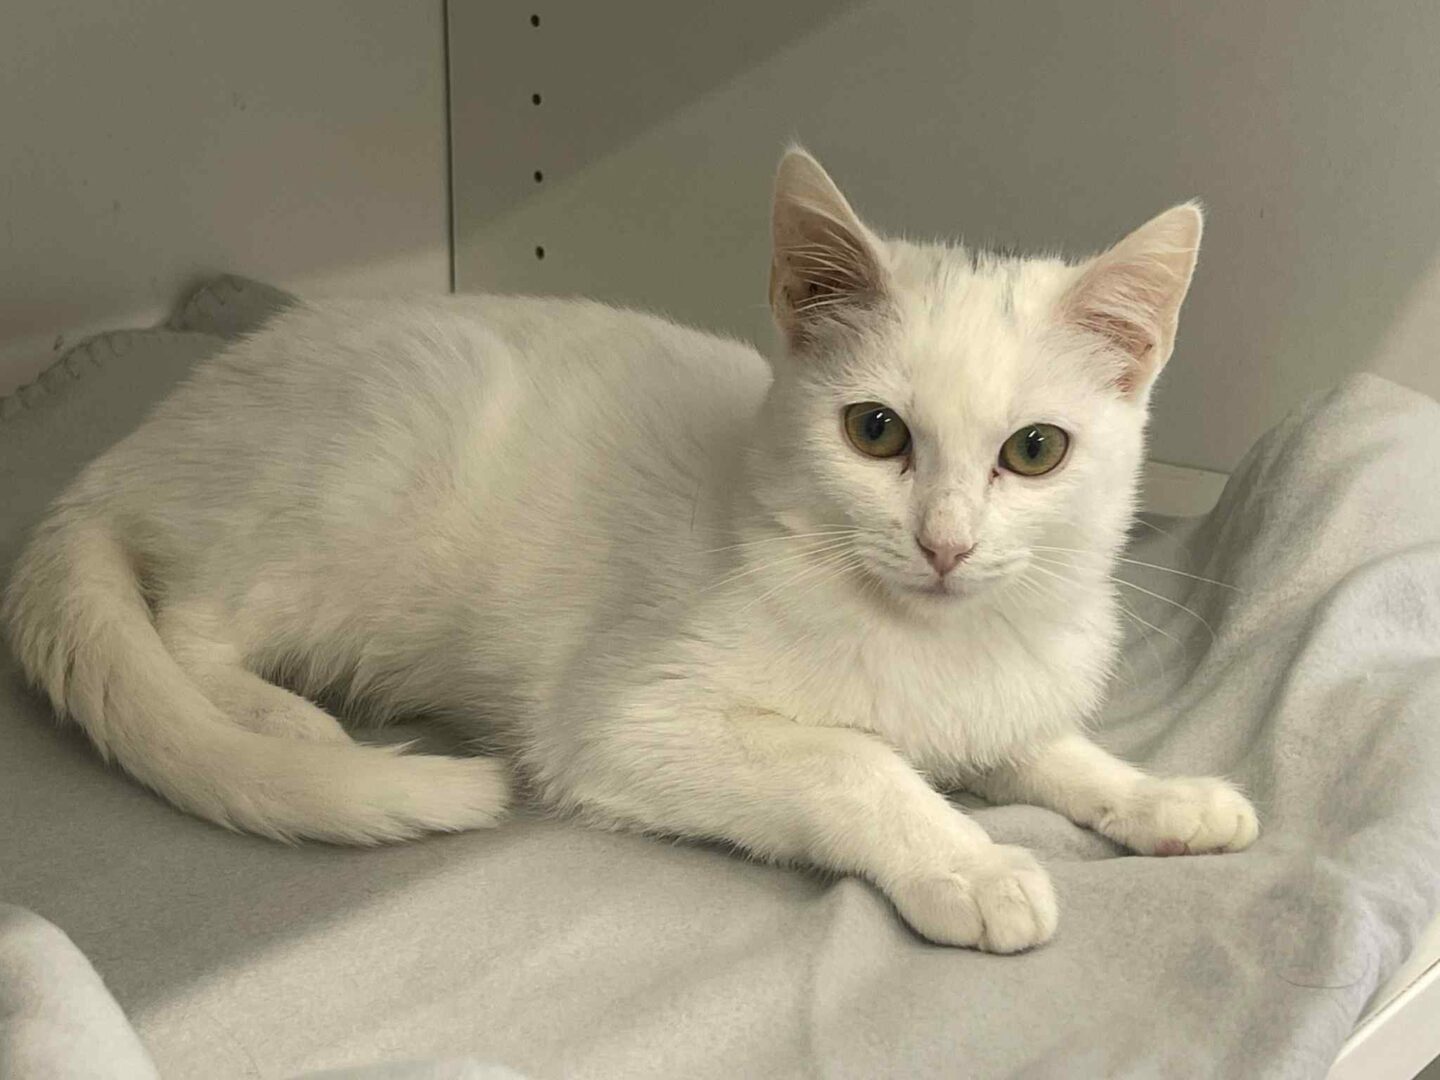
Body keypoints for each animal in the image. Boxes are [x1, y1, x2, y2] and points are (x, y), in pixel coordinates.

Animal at [2, 149, 1257, 953]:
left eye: (1035, 451)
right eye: (876, 432)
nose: (943, 544)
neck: (930, 637)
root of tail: (137, 445)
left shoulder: (995, 701)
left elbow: (1045, 749)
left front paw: (1163, 796)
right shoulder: (624, 721)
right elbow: (853, 761)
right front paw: (971, 862)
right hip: (368, 469)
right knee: (188, 626)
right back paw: (284, 720)